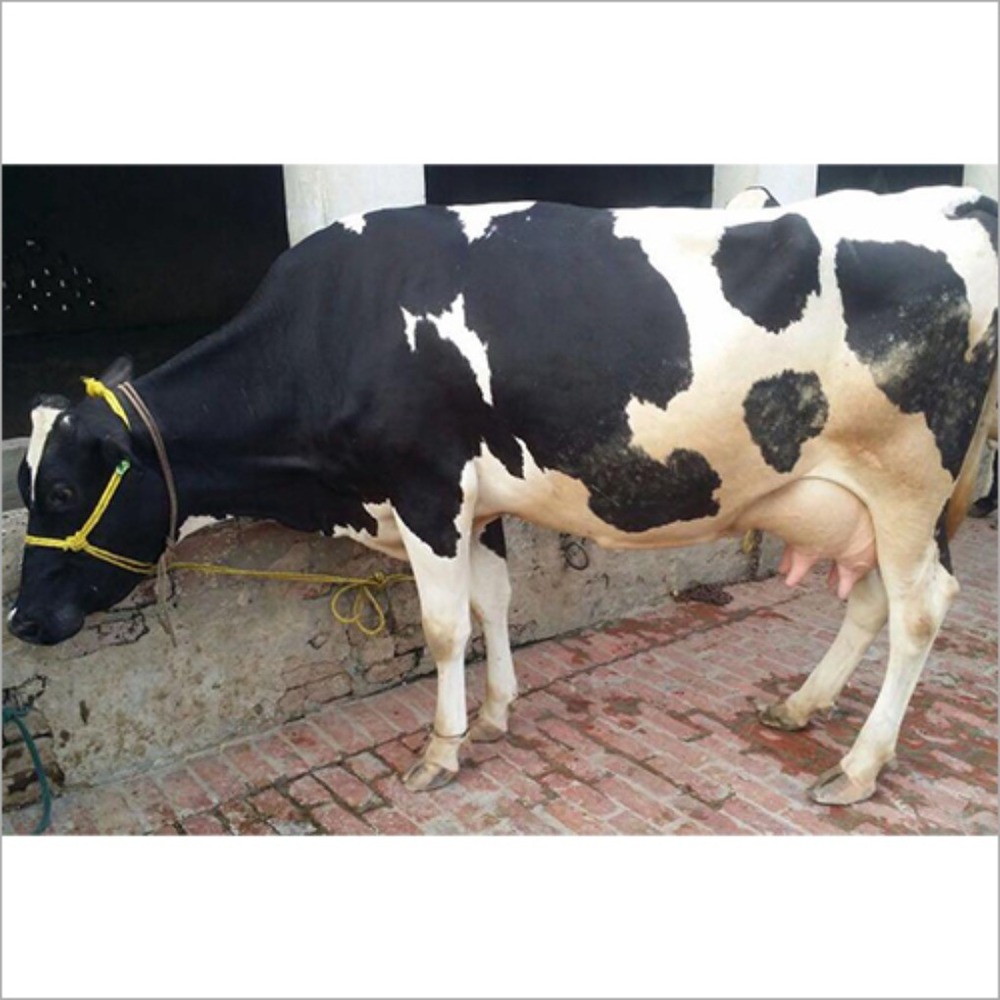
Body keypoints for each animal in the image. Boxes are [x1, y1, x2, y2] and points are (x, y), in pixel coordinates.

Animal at [9, 186, 997, 807]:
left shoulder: (426, 490)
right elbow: (493, 601)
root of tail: (953, 200)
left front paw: (440, 750)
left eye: (58, 487)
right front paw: (495, 712)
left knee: (921, 608)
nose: (20, 620)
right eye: (30, 482)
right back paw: (801, 705)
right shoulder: (474, 503)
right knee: (872, 601)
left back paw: (859, 766)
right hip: (869, 502)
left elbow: (445, 626)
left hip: (905, 483)